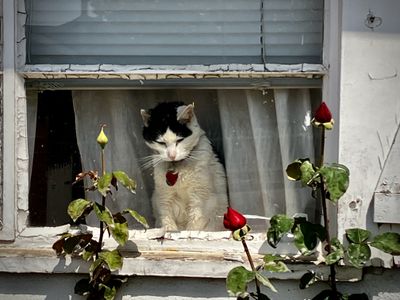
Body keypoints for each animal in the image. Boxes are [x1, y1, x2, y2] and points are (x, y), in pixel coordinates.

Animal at [141, 102, 228, 231]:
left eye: (179, 140)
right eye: (161, 143)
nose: (172, 155)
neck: (177, 166)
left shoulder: (200, 194)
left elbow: (196, 219)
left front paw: (190, 232)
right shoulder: (164, 194)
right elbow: (166, 217)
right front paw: (170, 231)